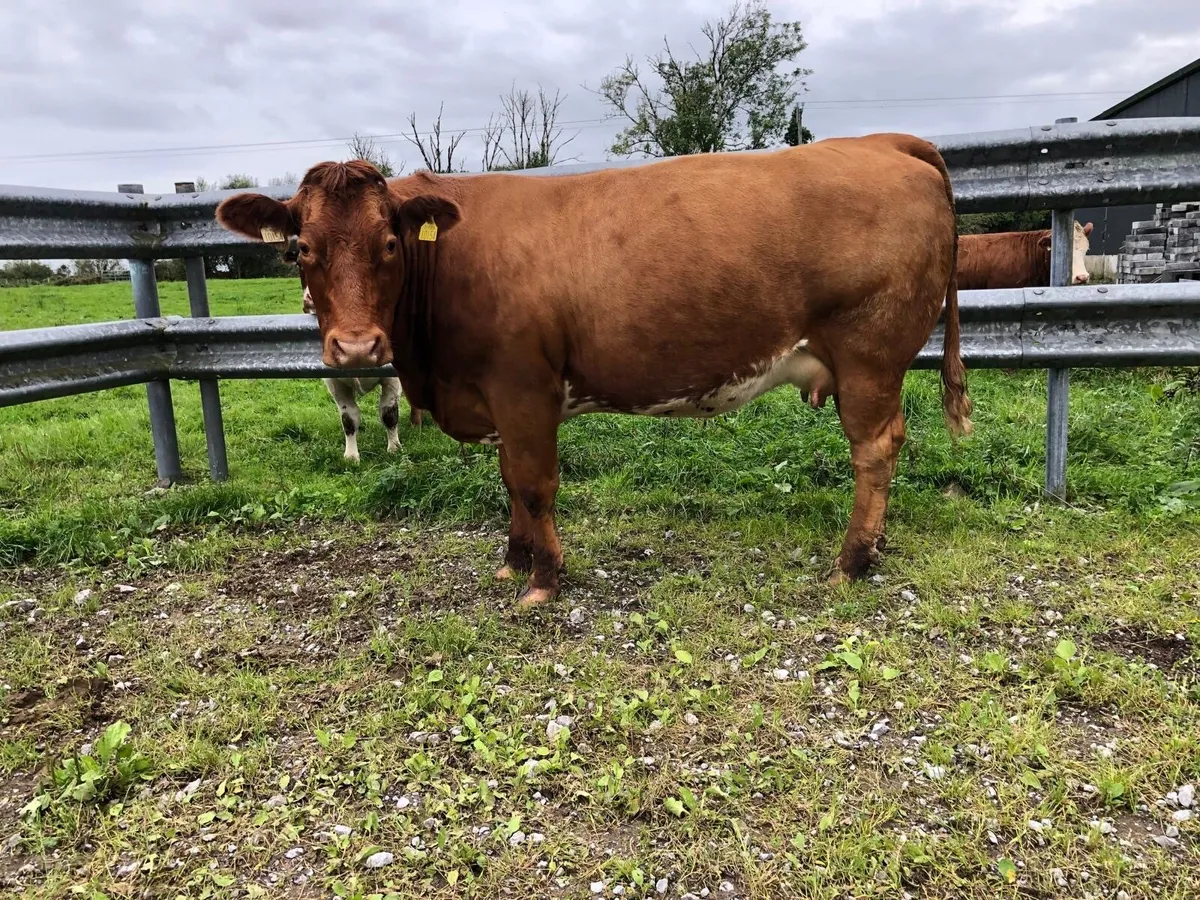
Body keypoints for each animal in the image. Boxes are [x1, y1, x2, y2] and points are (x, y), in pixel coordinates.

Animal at [215, 133, 973, 608]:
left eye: (391, 243)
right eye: (301, 248)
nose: (355, 350)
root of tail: (884, 141)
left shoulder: (524, 386)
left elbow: (533, 484)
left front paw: (544, 579)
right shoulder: (499, 398)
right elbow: (510, 484)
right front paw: (514, 560)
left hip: (869, 355)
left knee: (874, 449)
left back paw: (852, 562)